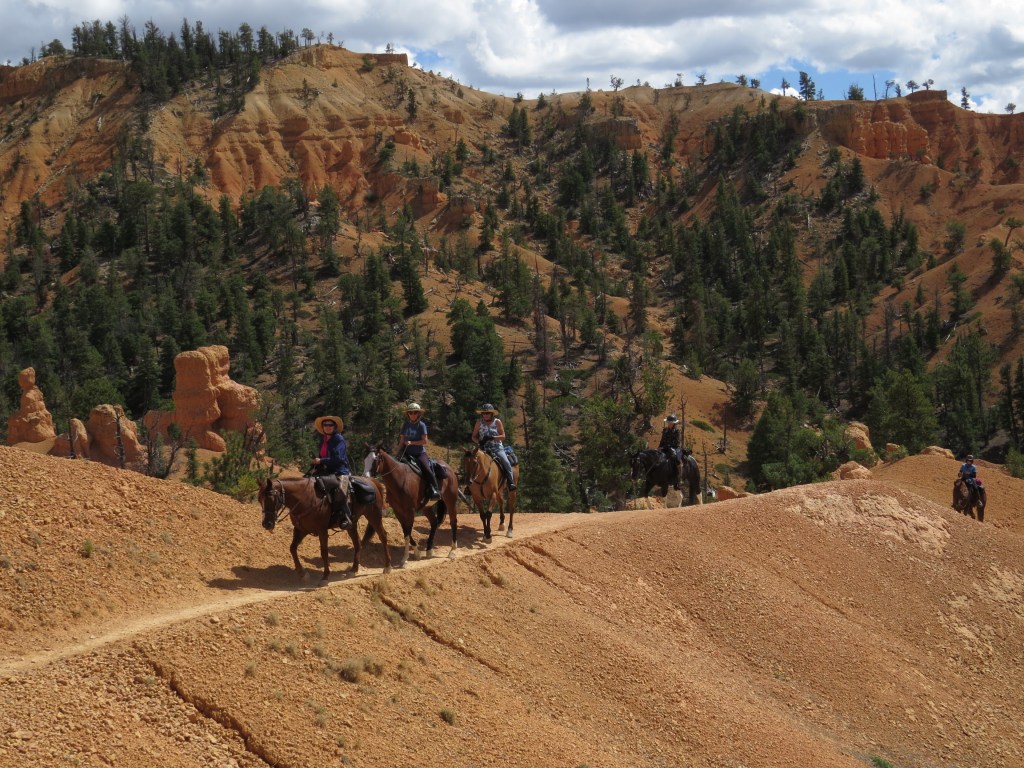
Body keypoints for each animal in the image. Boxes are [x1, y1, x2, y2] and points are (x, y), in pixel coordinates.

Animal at [258, 475, 392, 582]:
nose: (266, 524)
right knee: (357, 543)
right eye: (259, 500)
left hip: (374, 516)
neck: (305, 498)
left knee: (383, 537)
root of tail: (372, 481)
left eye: (270, 498)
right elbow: (292, 548)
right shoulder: (301, 530)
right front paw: (302, 573)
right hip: (352, 524)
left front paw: (325, 575)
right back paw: (353, 569)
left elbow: (324, 552)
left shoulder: (322, 530)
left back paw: (387, 566)